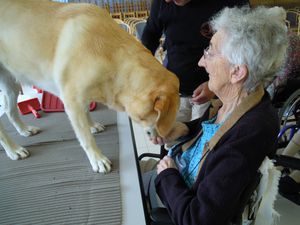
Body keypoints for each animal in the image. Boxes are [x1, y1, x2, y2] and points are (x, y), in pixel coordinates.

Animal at [0, 0, 178, 172]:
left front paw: (91, 125)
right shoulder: (72, 102)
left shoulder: (83, 97)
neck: (109, 54)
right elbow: (86, 137)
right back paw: (13, 149)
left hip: (11, 83)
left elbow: (86, 112)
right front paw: (97, 159)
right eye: (160, 118)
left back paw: (24, 130)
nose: (168, 139)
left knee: (9, 110)